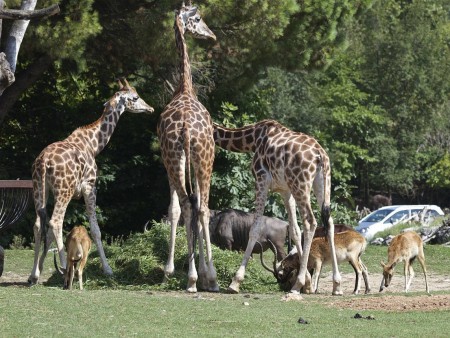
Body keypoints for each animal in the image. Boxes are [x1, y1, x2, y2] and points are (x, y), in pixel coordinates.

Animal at [29, 79, 155, 286]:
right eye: (135, 97)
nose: (150, 108)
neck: (94, 145)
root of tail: (44, 162)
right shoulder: (90, 187)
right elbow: (96, 230)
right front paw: (108, 270)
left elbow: (47, 233)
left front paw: (38, 271)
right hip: (63, 189)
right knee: (55, 222)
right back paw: (64, 268)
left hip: (40, 188)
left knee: (39, 224)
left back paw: (33, 275)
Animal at [213, 120, 342, 294]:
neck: (253, 138)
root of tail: (320, 156)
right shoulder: (285, 190)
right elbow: (294, 231)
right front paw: (308, 283)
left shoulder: (261, 179)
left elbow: (254, 229)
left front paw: (235, 282)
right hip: (321, 183)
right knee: (329, 222)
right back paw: (336, 285)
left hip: (300, 184)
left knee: (310, 222)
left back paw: (298, 284)